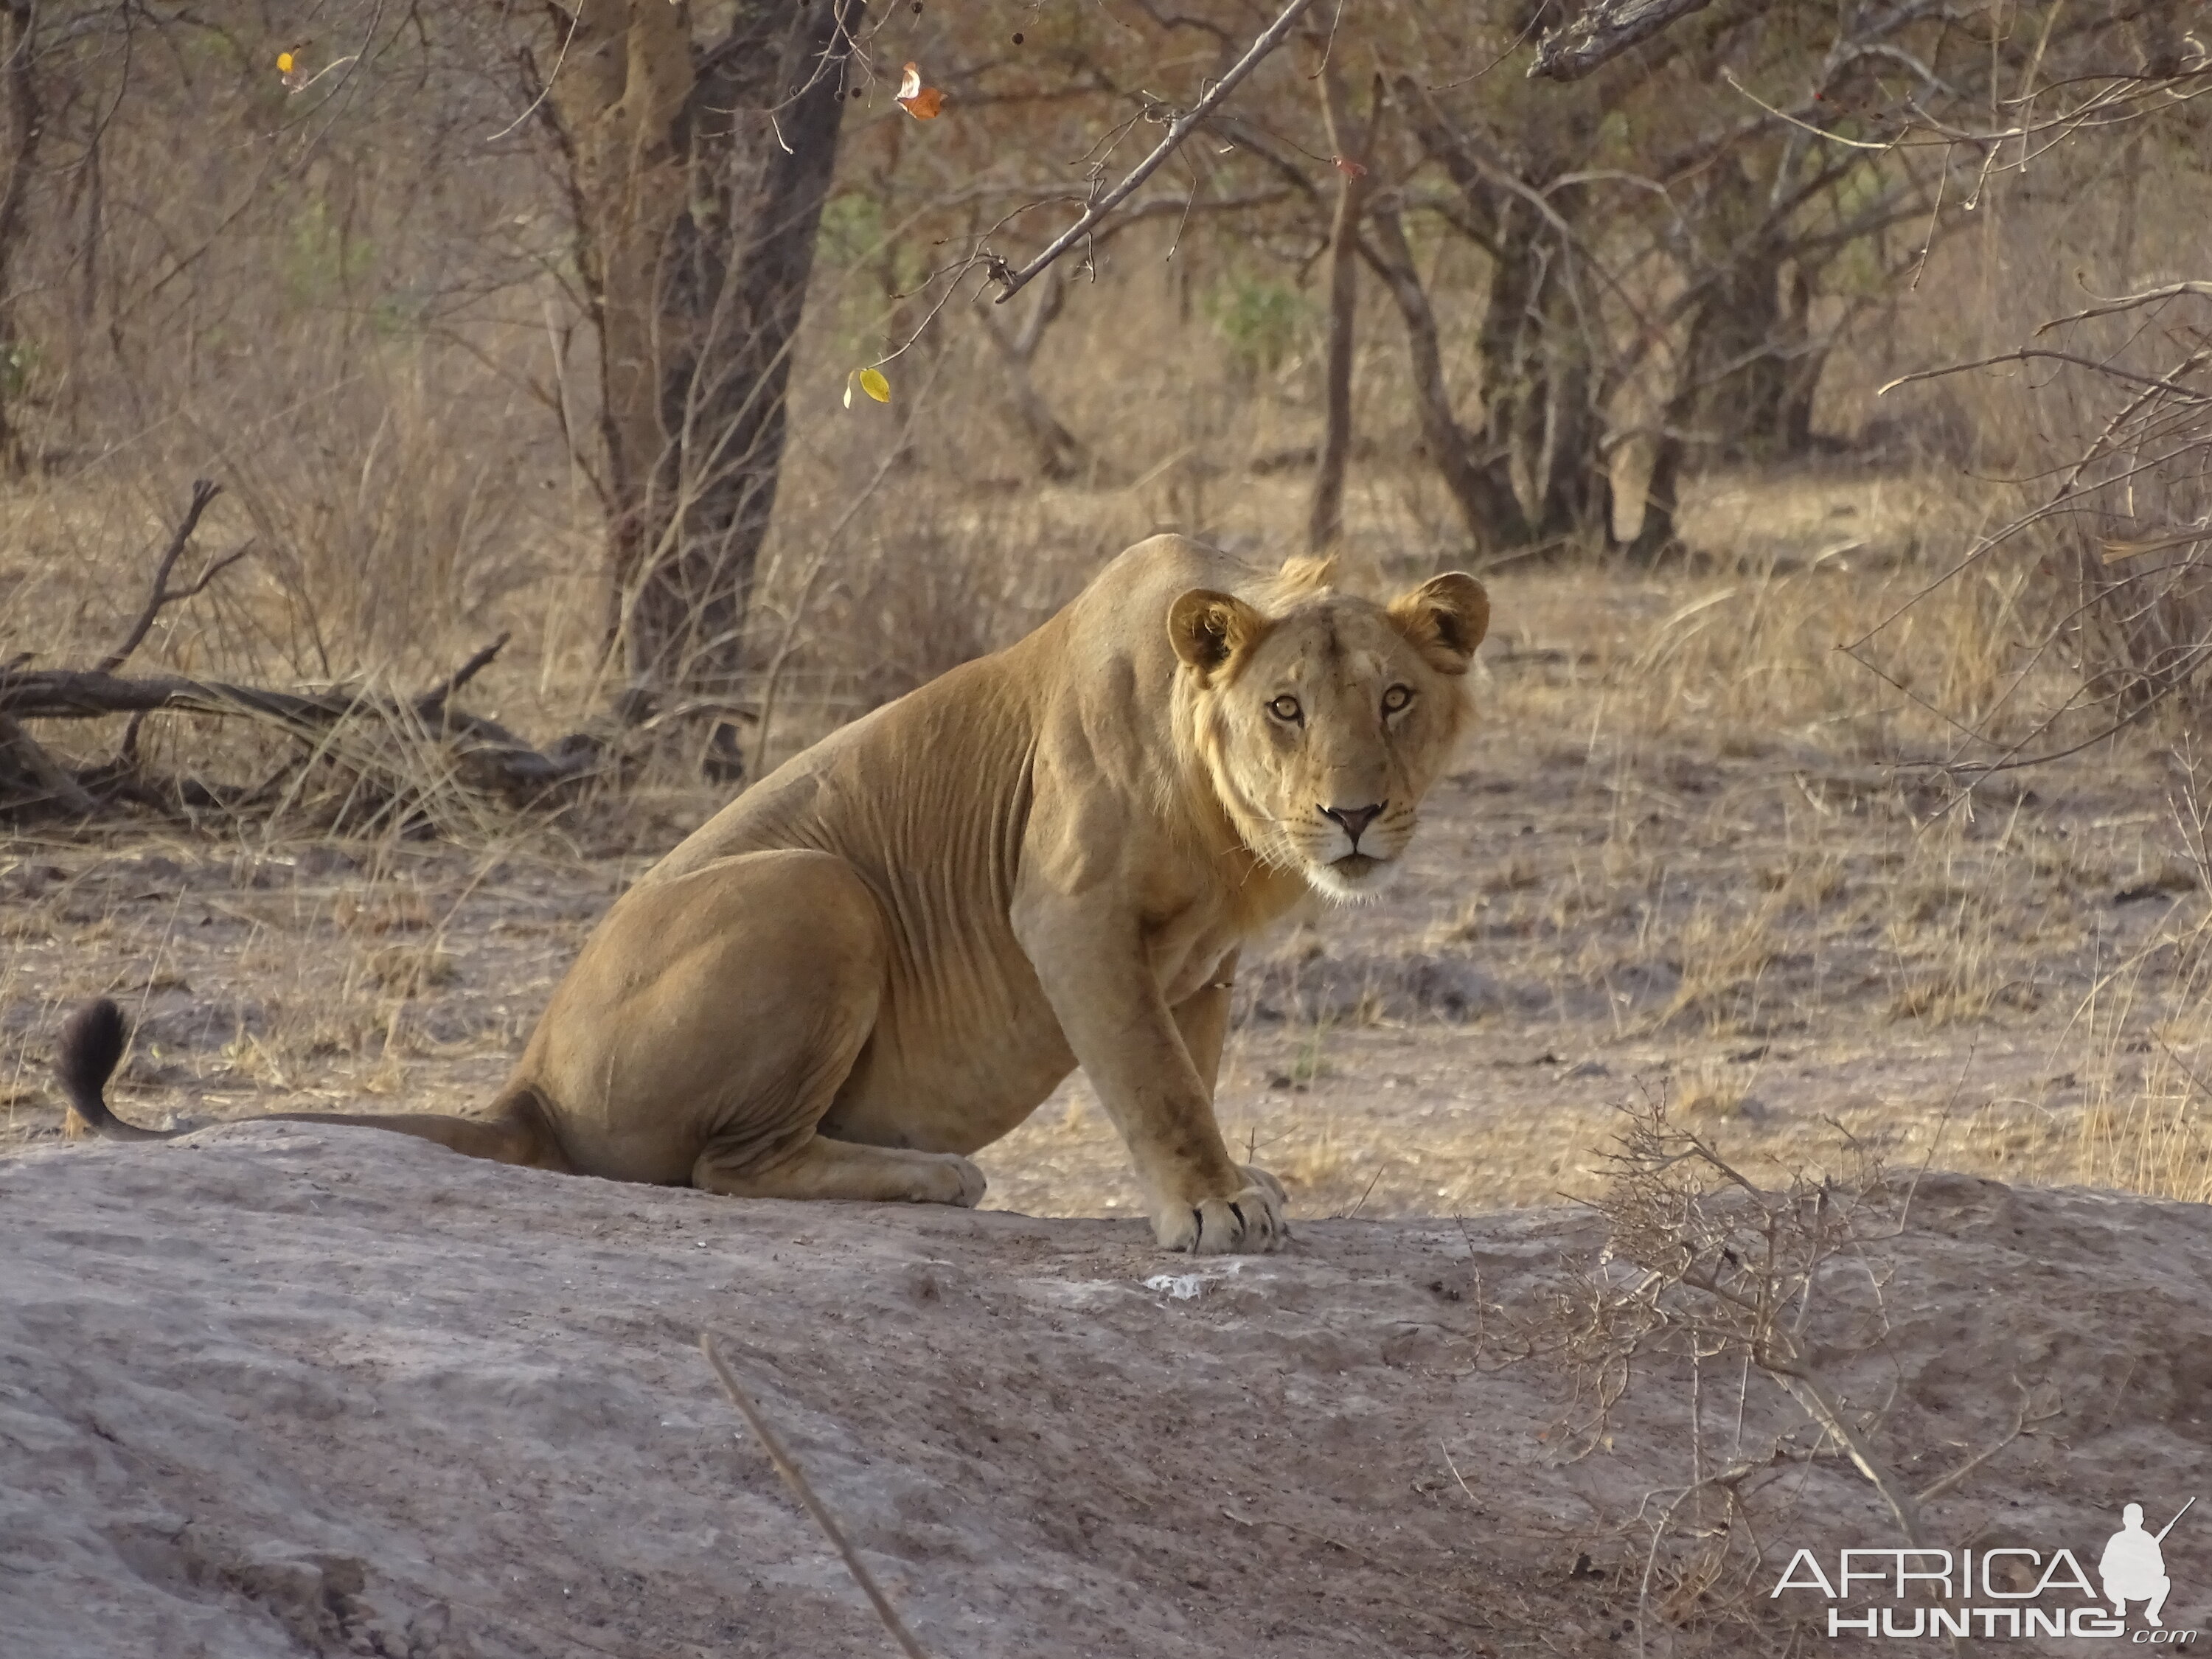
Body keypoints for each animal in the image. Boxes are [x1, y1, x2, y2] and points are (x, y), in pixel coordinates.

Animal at [60, 540, 1486, 1256]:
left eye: (1395, 699)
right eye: (1285, 708)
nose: (1353, 814)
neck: (1229, 830)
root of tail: (522, 1078)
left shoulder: (1199, 967)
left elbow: (1184, 1076)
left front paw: (1230, 1178)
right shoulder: (1070, 913)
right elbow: (1155, 1087)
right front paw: (1210, 1206)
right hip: (823, 890)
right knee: (724, 1170)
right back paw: (935, 1177)